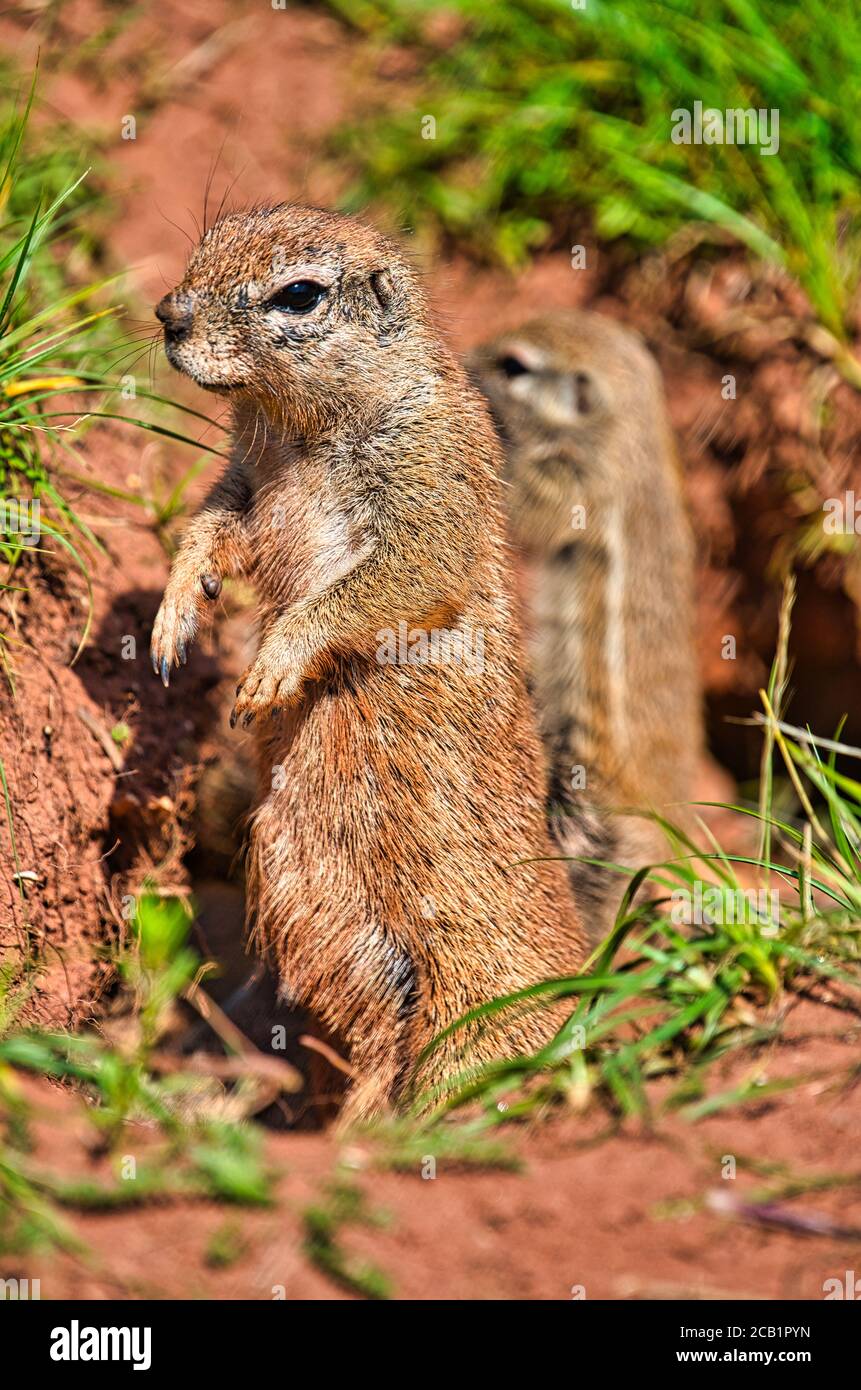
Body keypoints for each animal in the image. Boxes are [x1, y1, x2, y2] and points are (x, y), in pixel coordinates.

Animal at [151, 206, 586, 1121]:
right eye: (212, 237)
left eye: (298, 295)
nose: (169, 316)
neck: (296, 430)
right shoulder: (246, 482)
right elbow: (211, 525)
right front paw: (173, 615)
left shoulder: (428, 482)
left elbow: (384, 582)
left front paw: (269, 670)